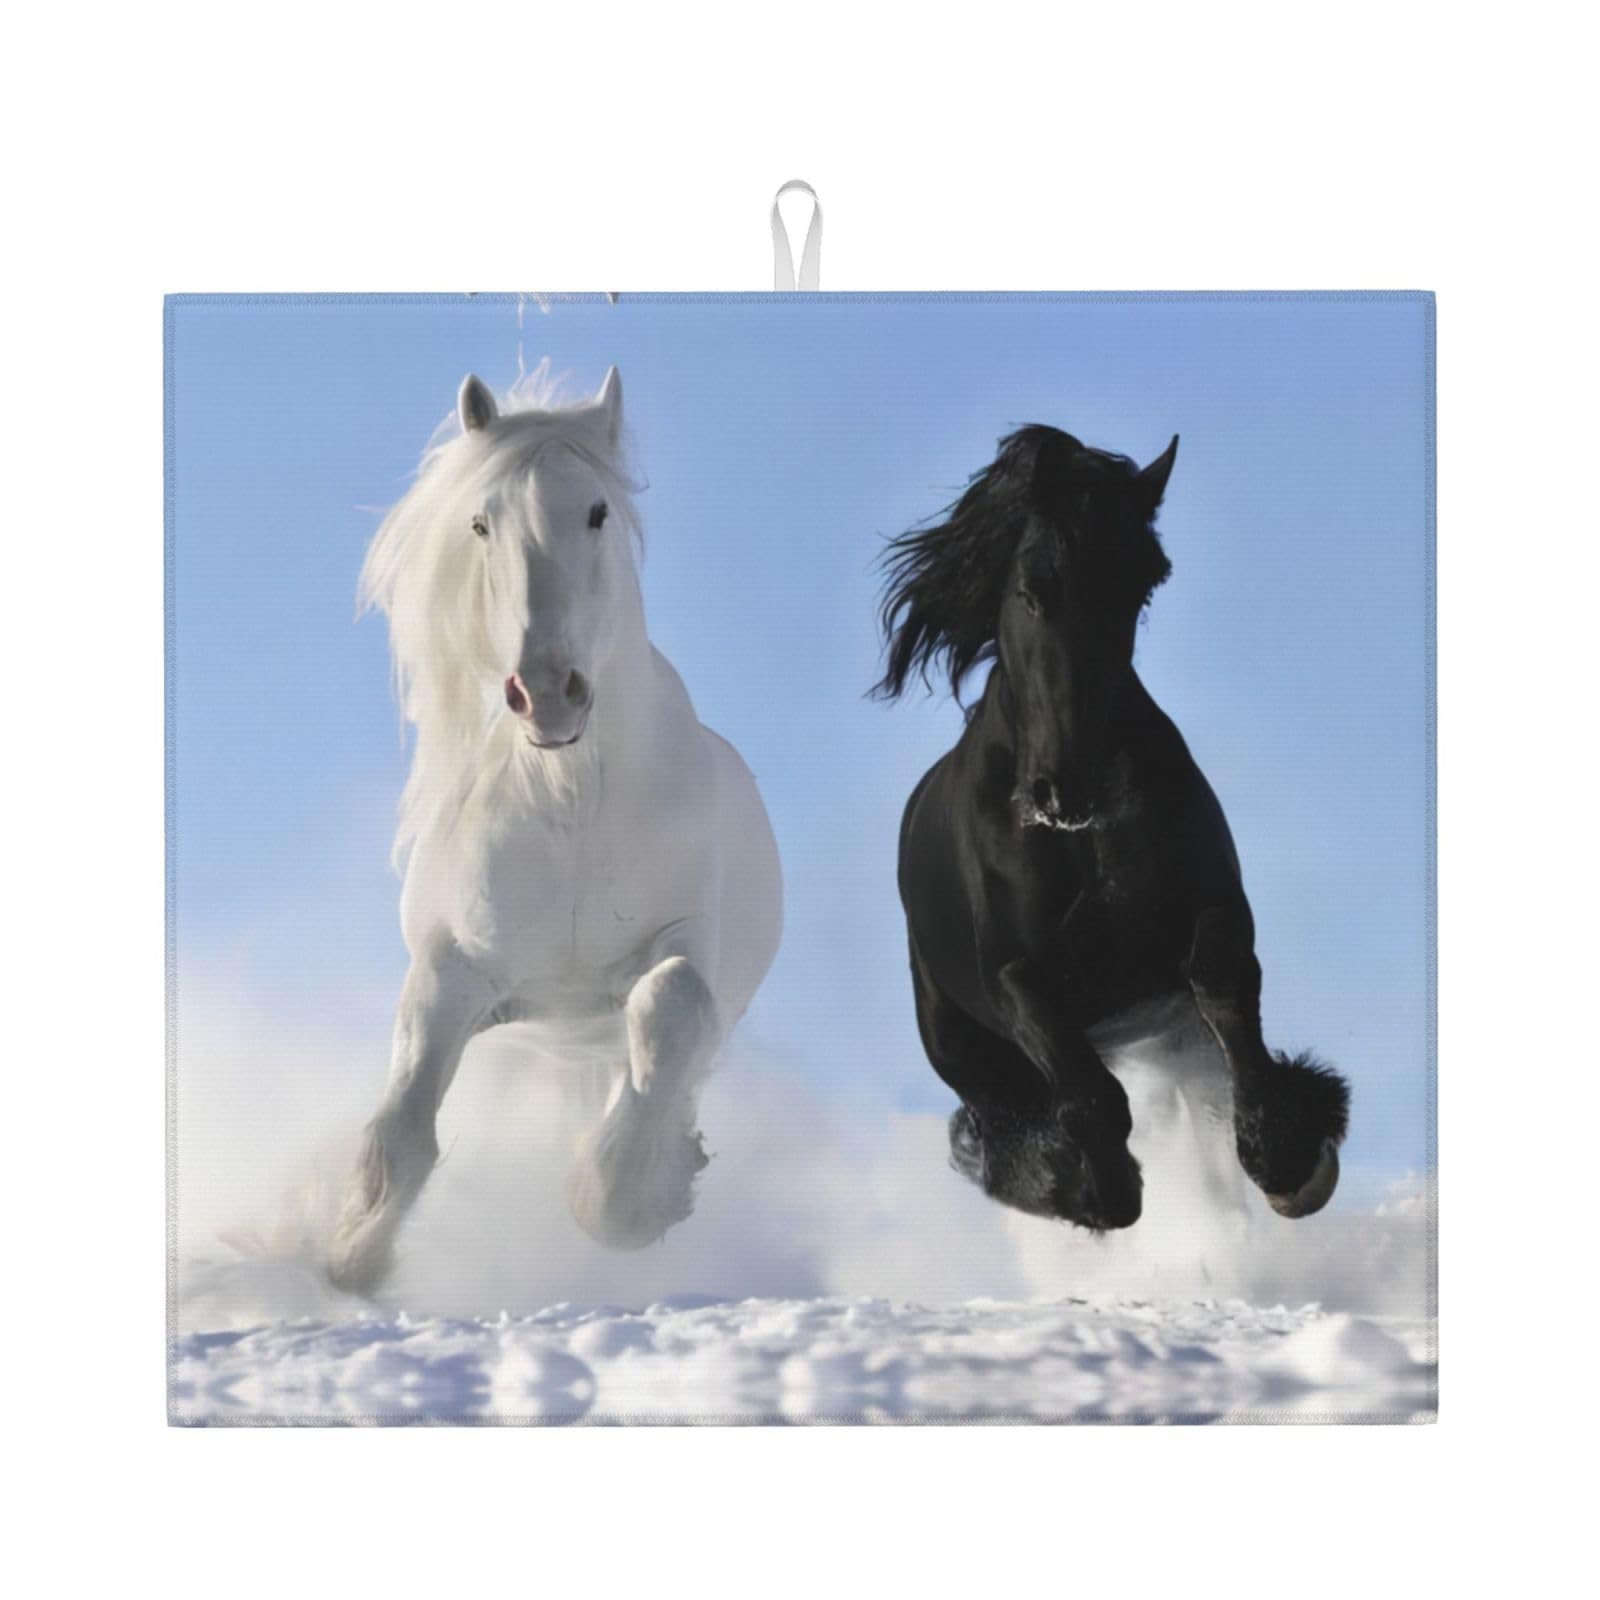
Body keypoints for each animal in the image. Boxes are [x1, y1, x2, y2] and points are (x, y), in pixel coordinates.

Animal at [329, 367, 783, 1292]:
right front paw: (348, 1257)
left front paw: (627, 1200)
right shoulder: (454, 970)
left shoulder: (688, 943)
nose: (546, 692)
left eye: (598, 511)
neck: (570, 804)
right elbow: (402, 1130)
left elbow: (671, 1007)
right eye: (481, 522)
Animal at [875, 426, 1349, 1233]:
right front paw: (1098, 1187)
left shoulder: (1210, 914)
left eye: (1141, 587)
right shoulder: (1017, 977)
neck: (1079, 840)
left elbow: (1225, 987)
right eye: (1033, 588)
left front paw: (1288, 1156)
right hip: (964, 1048)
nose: (1067, 788)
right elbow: (1088, 1093)